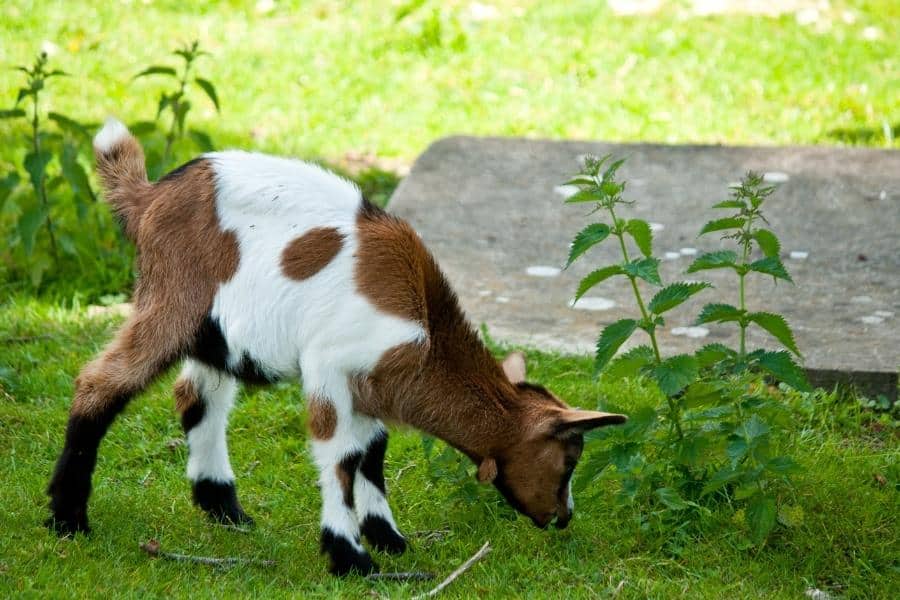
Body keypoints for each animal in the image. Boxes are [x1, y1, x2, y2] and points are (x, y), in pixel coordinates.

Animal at [47, 118, 624, 576]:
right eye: (569, 459)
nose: (563, 518)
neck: (426, 327)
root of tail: (148, 198)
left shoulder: (368, 387)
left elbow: (371, 453)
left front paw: (389, 540)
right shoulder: (330, 367)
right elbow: (341, 456)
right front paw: (350, 558)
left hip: (218, 333)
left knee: (196, 397)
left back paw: (226, 511)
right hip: (172, 302)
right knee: (101, 380)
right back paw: (67, 517)